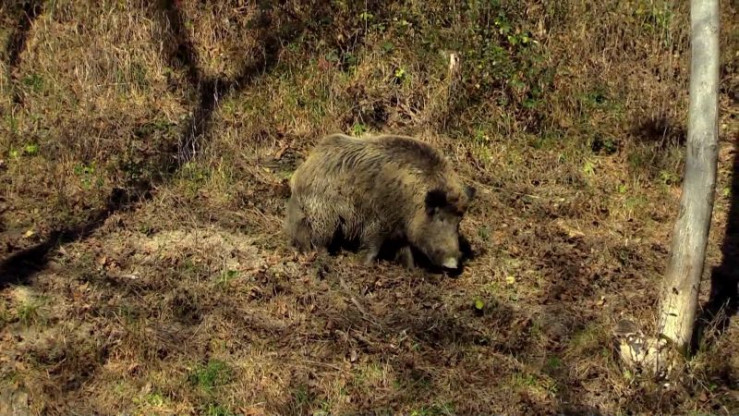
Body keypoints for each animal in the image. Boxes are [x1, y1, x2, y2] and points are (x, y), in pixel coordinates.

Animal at [284, 133, 475, 270]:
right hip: (324, 216)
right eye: (440, 217)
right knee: (320, 241)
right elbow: (373, 246)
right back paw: (325, 260)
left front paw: (411, 270)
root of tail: (301, 172)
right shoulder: (378, 221)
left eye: (459, 221)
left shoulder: (401, 232)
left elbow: (406, 252)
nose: (453, 264)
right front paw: (364, 266)